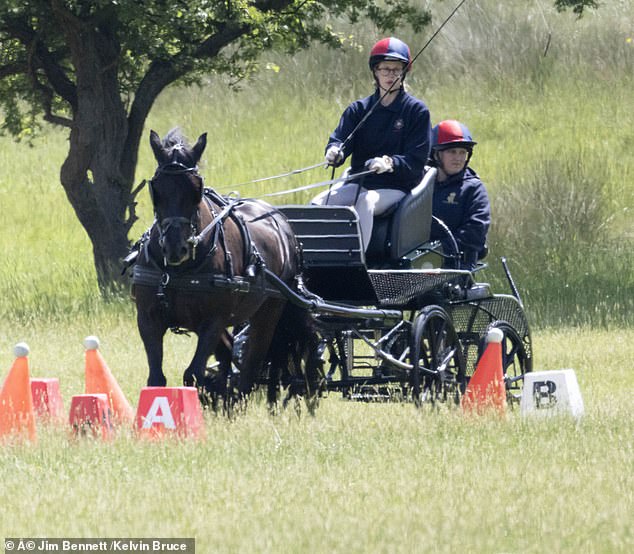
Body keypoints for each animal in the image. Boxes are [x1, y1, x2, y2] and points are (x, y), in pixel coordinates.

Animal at [131, 129, 306, 402]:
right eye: (156, 189)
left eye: (196, 188)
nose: (175, 247)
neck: (178, 271)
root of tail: (281, 221)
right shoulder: (148, 319)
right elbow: (156, 379)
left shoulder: (213, 320)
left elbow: (192, 374)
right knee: (228, 355)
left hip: (269, 310)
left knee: (251, 364)